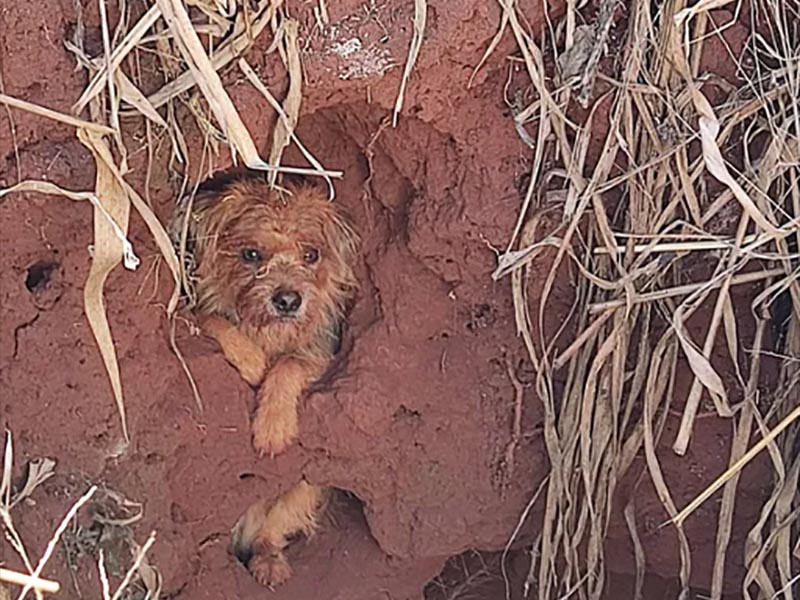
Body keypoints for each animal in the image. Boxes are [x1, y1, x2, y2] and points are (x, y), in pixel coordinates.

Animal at [177, 173, 360, 584]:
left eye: (311, 254)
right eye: (251, 255)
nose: (288, 300)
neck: (269, 331)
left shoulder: (321, 356)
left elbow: (288, 365)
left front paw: (274, 426)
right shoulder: (200, 312)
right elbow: (214, 320)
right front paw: (250, 360)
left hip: (304, 486)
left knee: (274, 526)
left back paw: (269, 560)